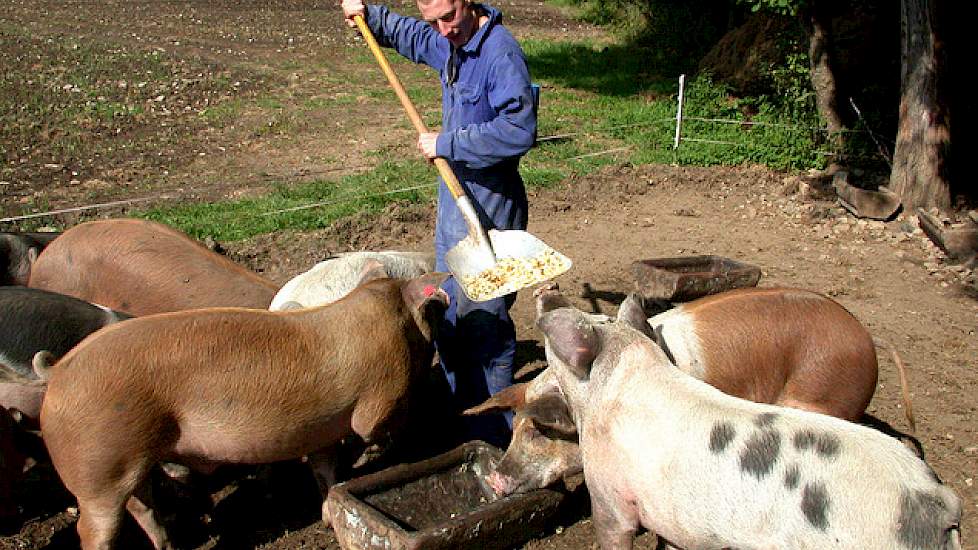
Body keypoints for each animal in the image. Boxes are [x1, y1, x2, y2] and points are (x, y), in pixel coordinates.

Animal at [39, 272, 450, 550]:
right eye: (429, 316)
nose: (445, 305)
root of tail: (57, 374)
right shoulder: (379, 400)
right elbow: (370, 431)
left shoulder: (321, 431)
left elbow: (326, 474)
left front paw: (328, 517)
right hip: (98, 470)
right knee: (95, 529)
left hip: (130, 462)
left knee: (143, 508)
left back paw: (170, 545)